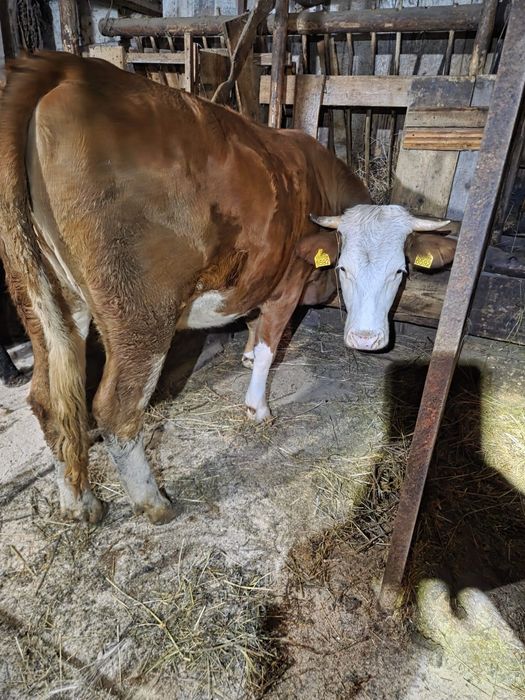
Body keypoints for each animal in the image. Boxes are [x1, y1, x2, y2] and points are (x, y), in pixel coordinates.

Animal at [0, 51, 455, 525]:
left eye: (400, 271)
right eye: (344, 268)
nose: (366, 339)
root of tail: (64, 65)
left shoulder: (260, 275)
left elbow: (253, 326)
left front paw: (247, 354)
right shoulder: (288, 284)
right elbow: (272, 344)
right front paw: (258, 406)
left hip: (48, 301)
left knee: (51, 401)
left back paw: (80, 504)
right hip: (139, 313)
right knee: (115, 408)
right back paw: (155, 503)